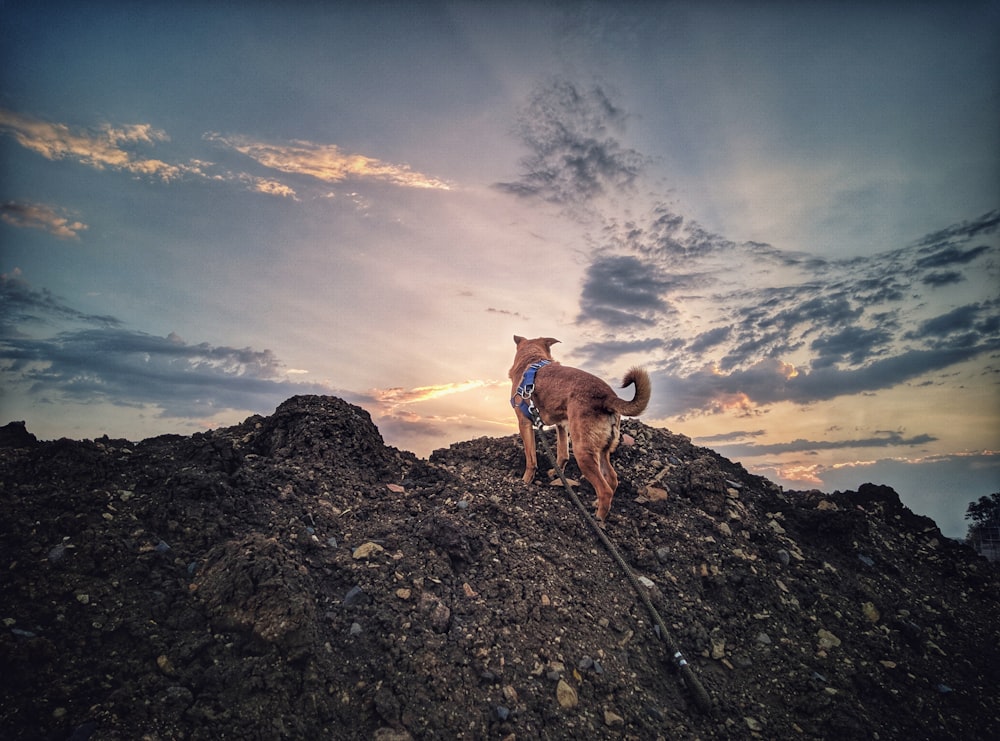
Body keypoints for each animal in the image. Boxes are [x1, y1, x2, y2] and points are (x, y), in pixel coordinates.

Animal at [512, 336, 652, 520]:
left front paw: (525, 482)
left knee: (605, 490)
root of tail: (607, 397)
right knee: (612, 479)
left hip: (582, 451)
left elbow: (531, 459)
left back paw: (599, 518)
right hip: (601, 451)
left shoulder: (524, 423)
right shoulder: (561, 424)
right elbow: (563, 454)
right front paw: (555, 473)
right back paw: (597, 504)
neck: (532, 360)